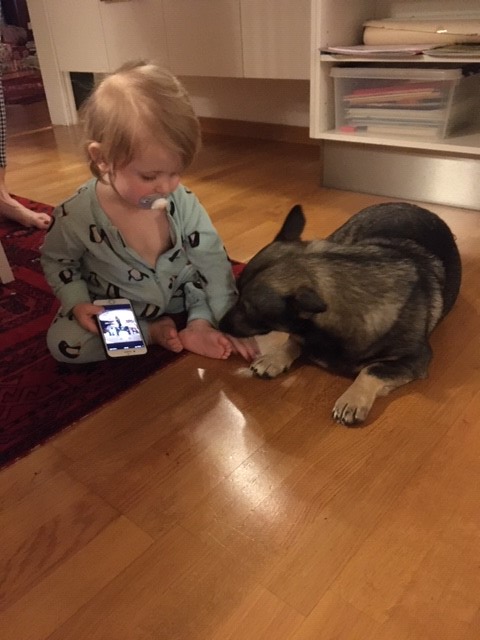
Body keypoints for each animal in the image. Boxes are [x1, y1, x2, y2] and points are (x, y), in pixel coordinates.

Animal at [219, 202, 462, 426]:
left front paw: (353, 399)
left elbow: (371, 370)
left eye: (249, 309)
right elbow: (292, 341)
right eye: (236, 292)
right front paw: (274, 358)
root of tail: (411, 206)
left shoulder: (414, 360)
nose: (219, 325)